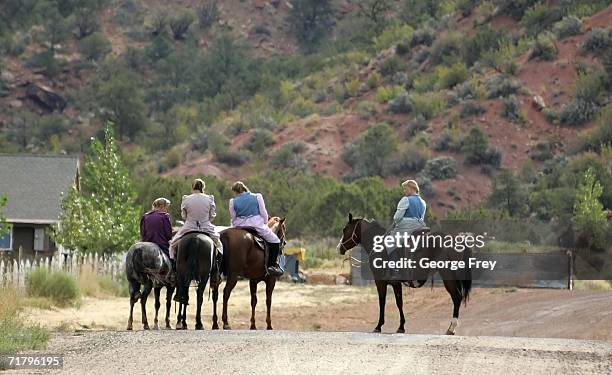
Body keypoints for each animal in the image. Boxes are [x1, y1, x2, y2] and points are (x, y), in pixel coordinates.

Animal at [338, 213, 470, 336]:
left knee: (456, 297)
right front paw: (401, 327)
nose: (339, 248)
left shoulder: (380, 282)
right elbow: (399, 302)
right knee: (458, 297)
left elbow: (382, 302)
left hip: (448, 275)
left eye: (345, 229)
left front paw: (378, 326)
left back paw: (451, 328)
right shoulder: (396, 283)